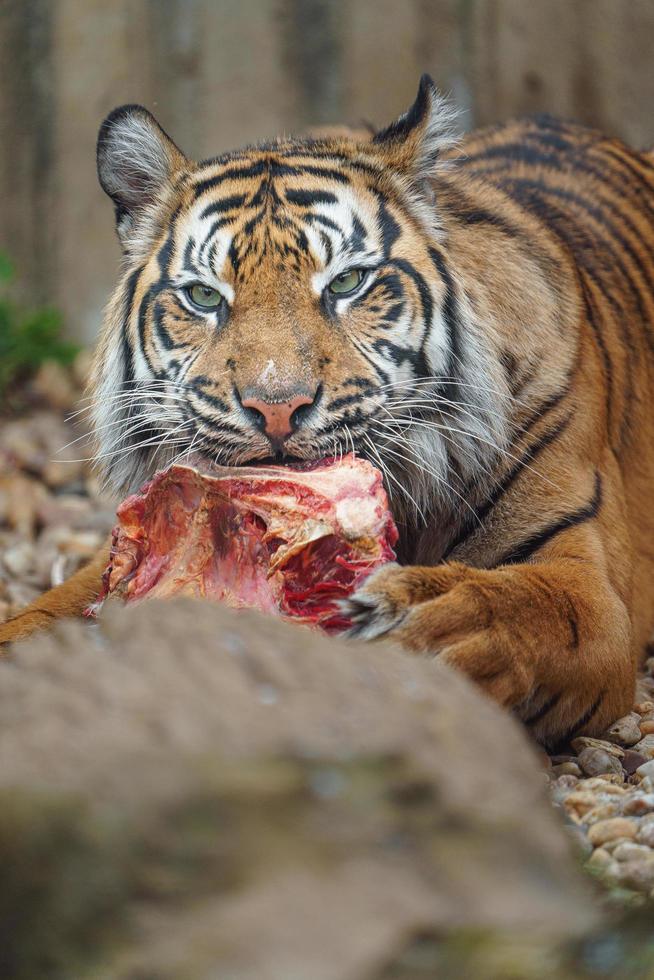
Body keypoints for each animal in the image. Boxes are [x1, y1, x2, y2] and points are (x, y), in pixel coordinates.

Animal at [1, 74, 654, 752]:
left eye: (346, 284)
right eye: (204, 296)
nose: (276, 406)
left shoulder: (591, 590)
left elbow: (517, 605)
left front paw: (417, 621)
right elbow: (39, 616)